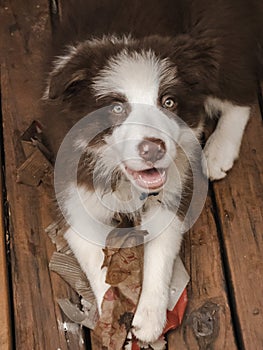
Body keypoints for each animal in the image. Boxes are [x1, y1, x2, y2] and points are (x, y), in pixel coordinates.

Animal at [43, 0, 263, 344]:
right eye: (116, 108)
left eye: (168, 102)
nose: (154, 149)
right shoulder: (72, 191)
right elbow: (96, 262)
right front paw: (116, 315)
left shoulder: (173, 189)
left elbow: (160, 253)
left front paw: (149, 318)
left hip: (218, 33)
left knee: (240, 94)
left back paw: (219, 150)